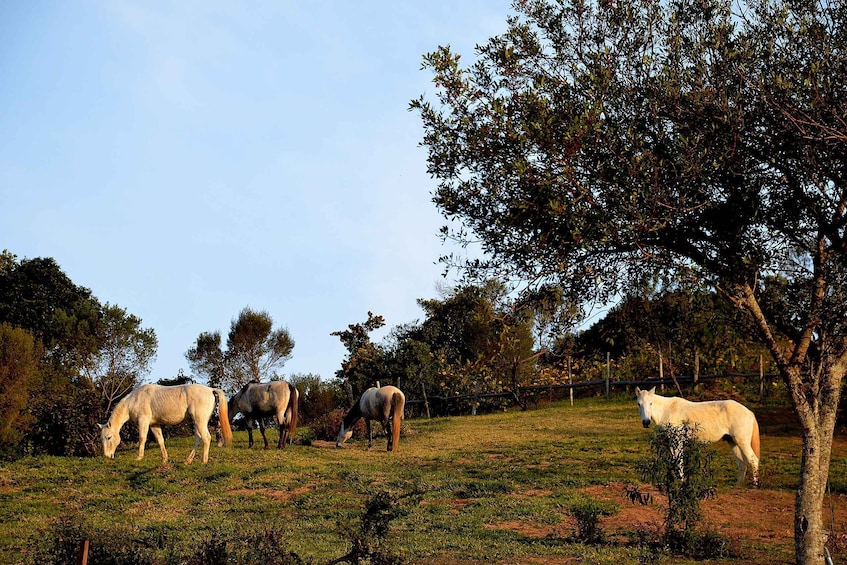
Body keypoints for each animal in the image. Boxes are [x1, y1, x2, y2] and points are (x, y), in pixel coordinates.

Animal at [99, 383, 232, 464]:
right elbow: (160, 440)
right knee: (199, 439)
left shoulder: (143, 421)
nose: (107, 455)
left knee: (206, 438)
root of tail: (210, 390)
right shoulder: (154, 425)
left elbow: (142, 438)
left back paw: (203, 461)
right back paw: (188, 460)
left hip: (200, 421)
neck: (134, 400)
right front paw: (164, 459)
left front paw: (139, 457)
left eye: (109, 437)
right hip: (196, 422)